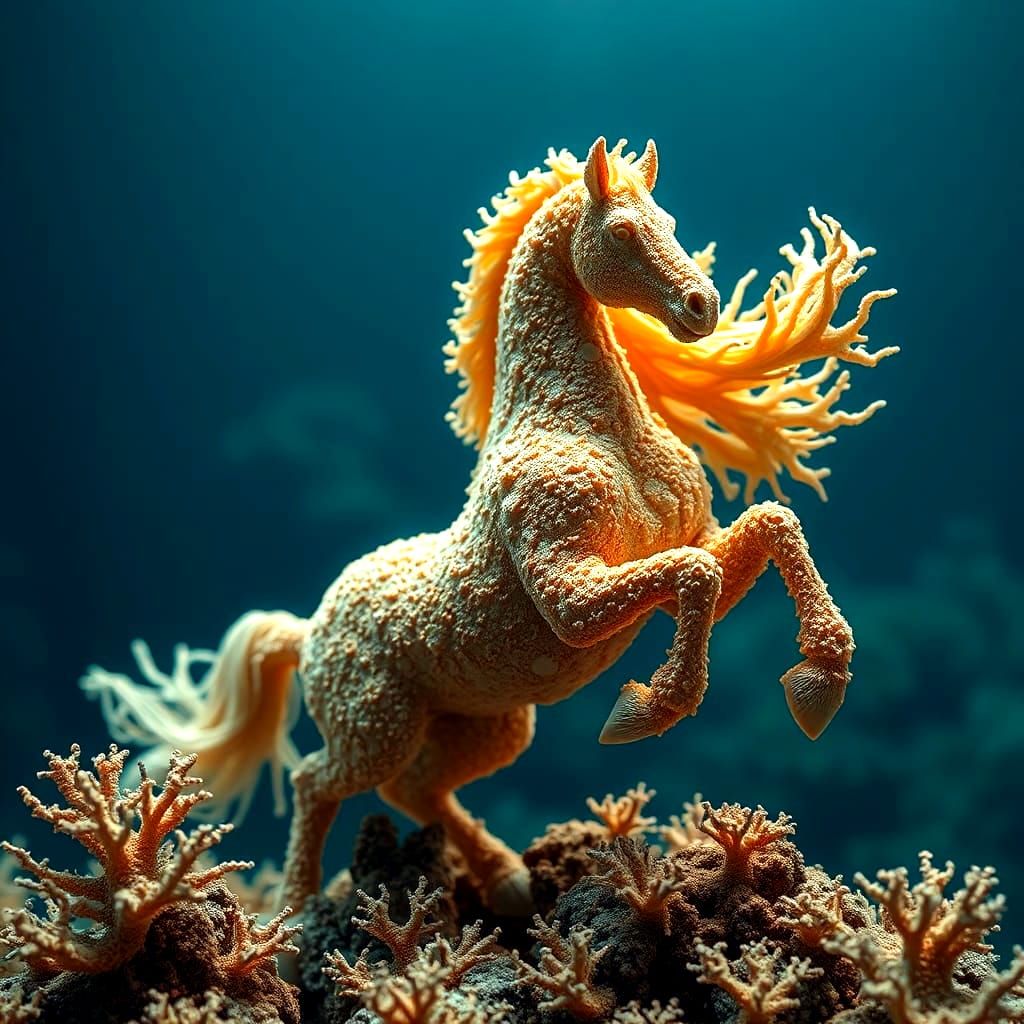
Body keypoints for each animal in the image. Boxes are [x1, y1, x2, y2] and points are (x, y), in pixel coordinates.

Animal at [83, 137, 896, 916]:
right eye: (624, 230)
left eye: (668, 221)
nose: (701, 306)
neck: (587, 423)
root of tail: (305, 631)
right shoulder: (568, 592)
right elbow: (692, 574)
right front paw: (647, 708)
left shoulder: (682, 556)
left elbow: (767, 526)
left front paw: (818, 681)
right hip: (375, 724)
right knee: (320, 781)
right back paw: (291, 917)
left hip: (489, 726)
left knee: (415, 788)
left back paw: (505, 880)